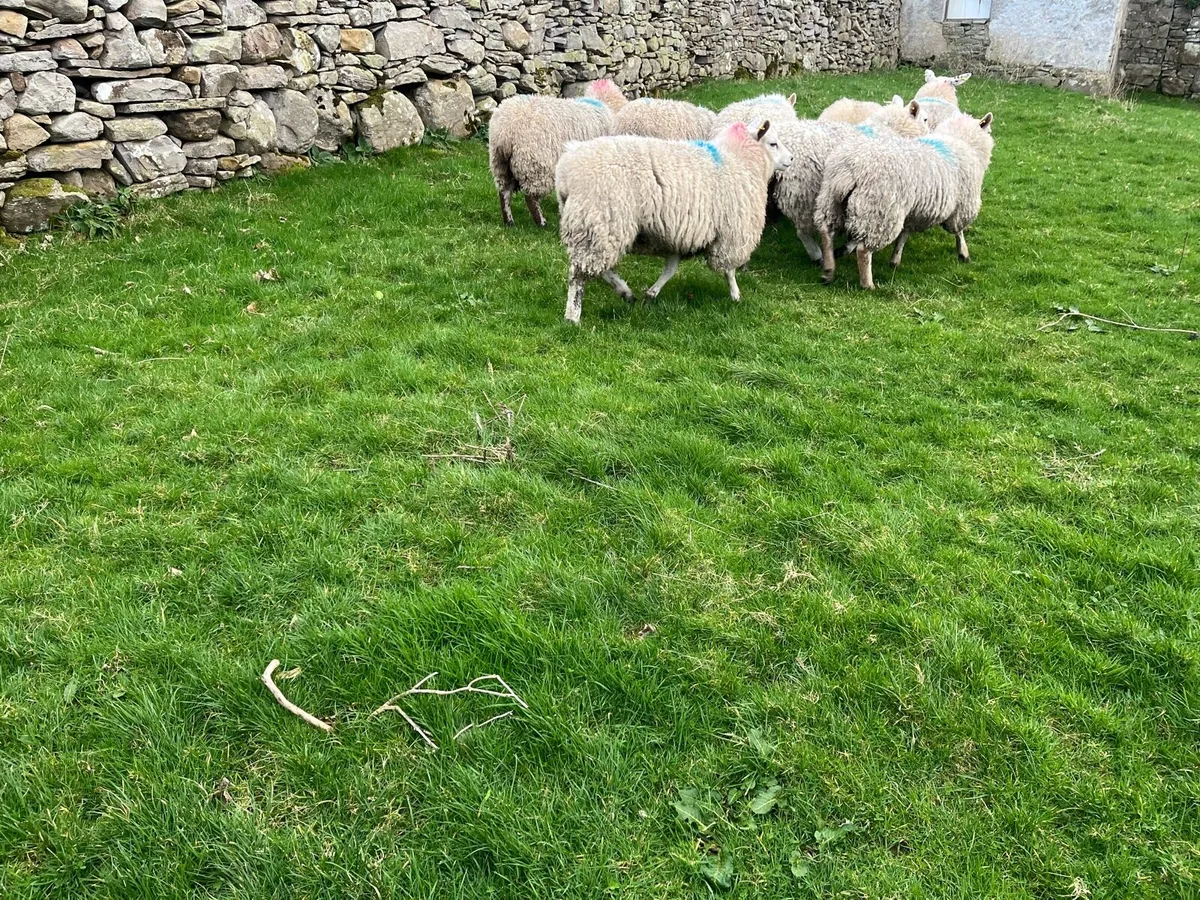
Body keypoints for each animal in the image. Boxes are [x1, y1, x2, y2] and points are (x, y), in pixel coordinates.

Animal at [488, 78, 627, 227]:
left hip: (500, 163)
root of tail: (505, 131)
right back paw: (541, 222)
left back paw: (509, 221)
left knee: (504, 193)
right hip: (535, 164)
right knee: (530, 197)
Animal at [554, 120, 794, 324]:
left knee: (598, 267)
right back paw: (572, 316)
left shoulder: (681, 233)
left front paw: (651, 294)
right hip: (600, 219)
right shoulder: (731, 233)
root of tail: (567, 168)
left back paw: (625, 291)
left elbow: (671, 268)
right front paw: (735, 295)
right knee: (579, 274)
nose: (791, 159)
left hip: (594, 227)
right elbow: (729, 270)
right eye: (773, 143)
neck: (739, 160)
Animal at [814, 111, 995, 290]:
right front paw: (963, 252)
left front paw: (895, 259)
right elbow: (958, 231)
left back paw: (828, 270)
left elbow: (904, 235)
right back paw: (867, 284)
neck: (961, 141)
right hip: (880, 212)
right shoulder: (962, 206)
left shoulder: (915, 212)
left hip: (834, 202)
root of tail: (850, 171)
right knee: (864, 250)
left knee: (826, 233)